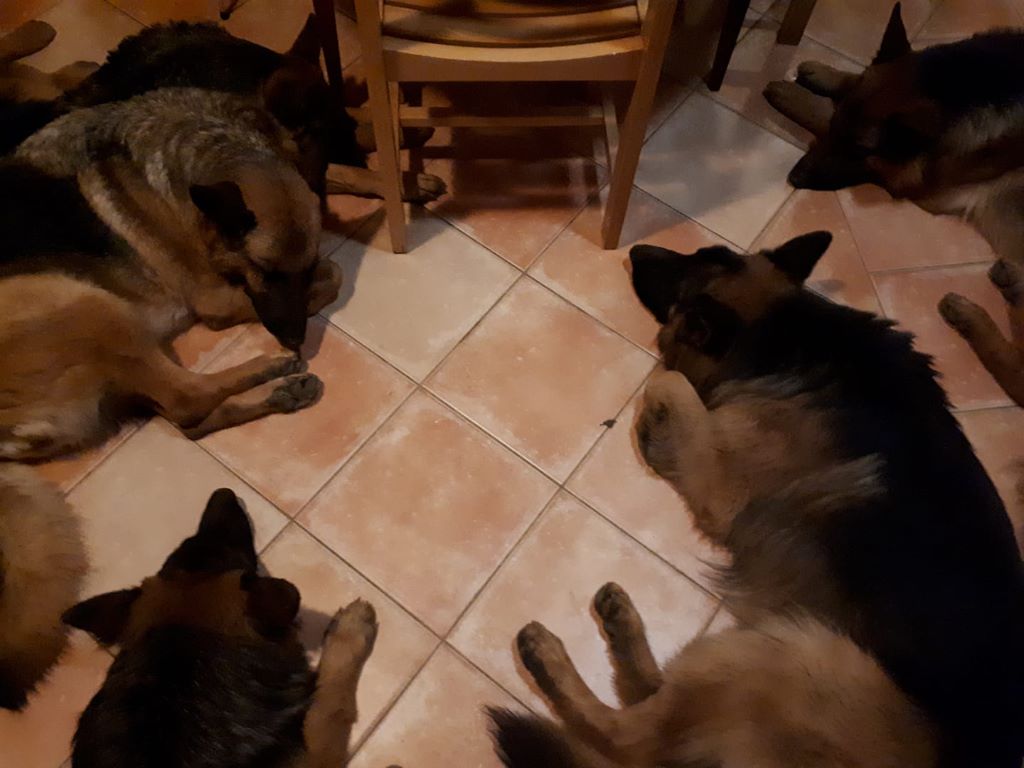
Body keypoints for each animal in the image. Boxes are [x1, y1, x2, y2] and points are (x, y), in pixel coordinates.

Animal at [62, 487, 380, 768]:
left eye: (183, 546)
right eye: (241, 557)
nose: (224, 493)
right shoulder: (319, 747)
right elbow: (331, 699)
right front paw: (351, 627)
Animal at [598, 236, 1024, 768]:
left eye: (678, 287)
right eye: (703, 251)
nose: (634, 250)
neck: (781, 332)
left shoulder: (723, 483)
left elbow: (670, 379)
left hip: (791, 655)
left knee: (627, 737)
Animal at [765, 4, 1024, 409]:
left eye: (858, 151)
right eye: (837, 127)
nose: (794, 177)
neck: (963, 88)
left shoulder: (918, 179)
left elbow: (817, 112)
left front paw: (791, 94)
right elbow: (862, 78)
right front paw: (828, 75)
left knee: (1016, 375)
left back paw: (969, 315)